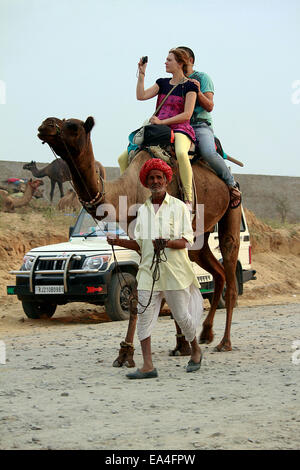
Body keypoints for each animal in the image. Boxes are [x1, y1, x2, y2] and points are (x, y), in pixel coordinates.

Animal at [37, 115, 241, 366]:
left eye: (73, 126)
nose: (45, 125)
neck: (129, 191)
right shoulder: (141, 242)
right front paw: (179, 345)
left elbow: (147, 293)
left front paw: (127, 353)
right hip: (198, 239)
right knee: (218, 273)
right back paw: (206, 332)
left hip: (231, 211)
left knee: (230, 268)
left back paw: (225, 342)